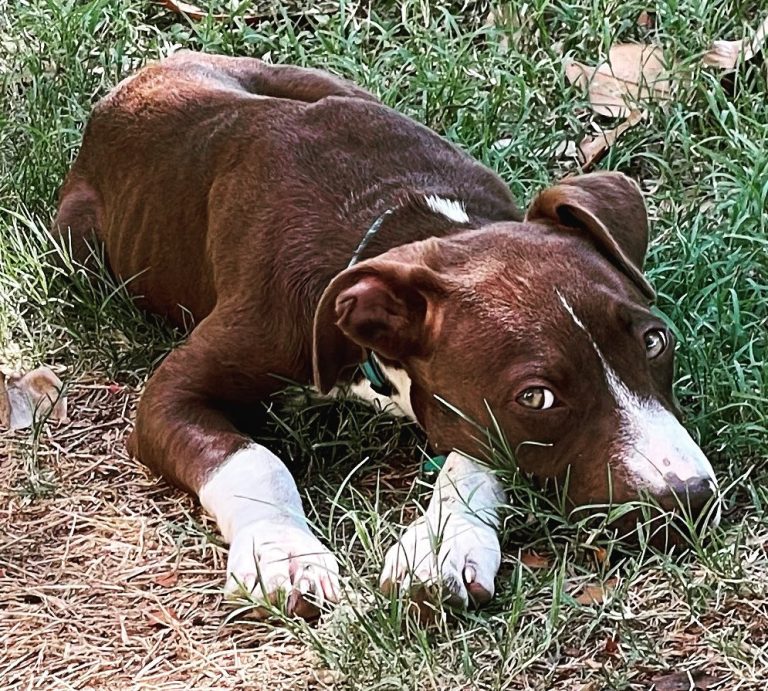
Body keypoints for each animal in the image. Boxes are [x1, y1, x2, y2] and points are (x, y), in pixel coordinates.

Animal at [55, 51, 720, 620]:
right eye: (536, 397)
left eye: (654, 341)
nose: (688, 497)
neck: (402, 219)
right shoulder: (171, 393)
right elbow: (253, 460)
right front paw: (283, 552)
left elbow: (474, 455)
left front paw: (442, 546)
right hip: (80, 247)